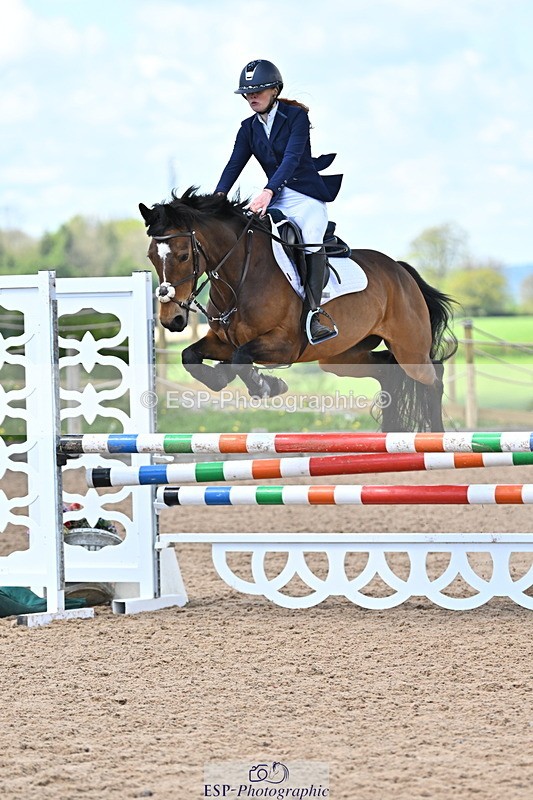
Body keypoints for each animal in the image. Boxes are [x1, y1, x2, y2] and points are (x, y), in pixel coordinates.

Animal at [139, 187, 457, 432]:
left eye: (183, 255)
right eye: (152, 256)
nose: (171, 320)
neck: (241, 276)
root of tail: (401, 271)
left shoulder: (284, 345)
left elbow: (241, 358)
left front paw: (266, 385)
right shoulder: (223, 341)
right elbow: (190, 356)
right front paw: (225, 377)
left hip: (409, 350)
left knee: (434, 376)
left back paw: (437, 435)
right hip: (341, 356)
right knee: (386, 369)